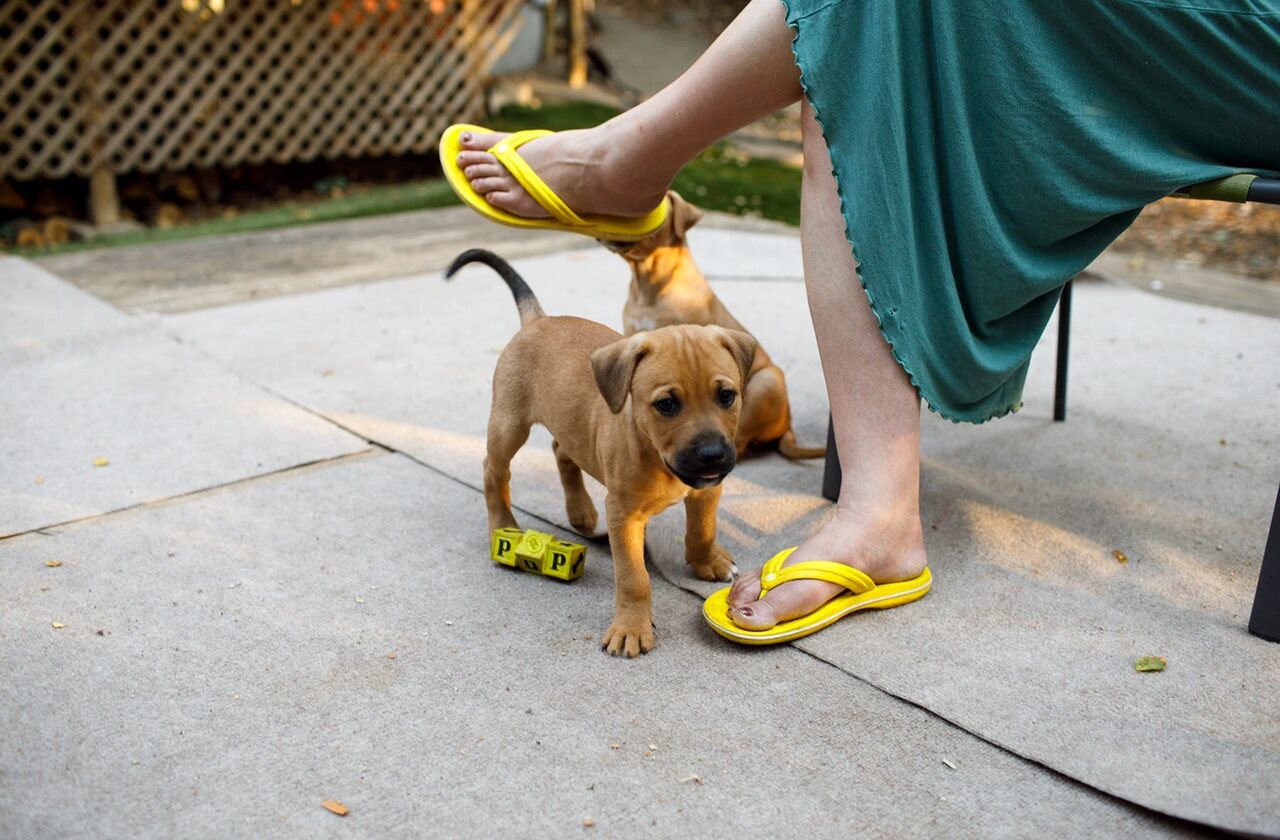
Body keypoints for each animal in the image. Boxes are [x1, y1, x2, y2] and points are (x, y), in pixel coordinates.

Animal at [446, 249, 757, 658]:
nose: (711, 455)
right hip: (508, 424)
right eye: (666, 404)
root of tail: (539, 319)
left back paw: (580, 512)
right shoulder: (623, 516)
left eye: (726, 396)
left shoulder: (706, 489)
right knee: (494, 470)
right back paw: (503, 523)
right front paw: (631, 628)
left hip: (567, 423)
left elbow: (703, 529)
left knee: (562, 451)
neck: (654, 454)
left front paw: (707, 562)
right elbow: (634, 577)